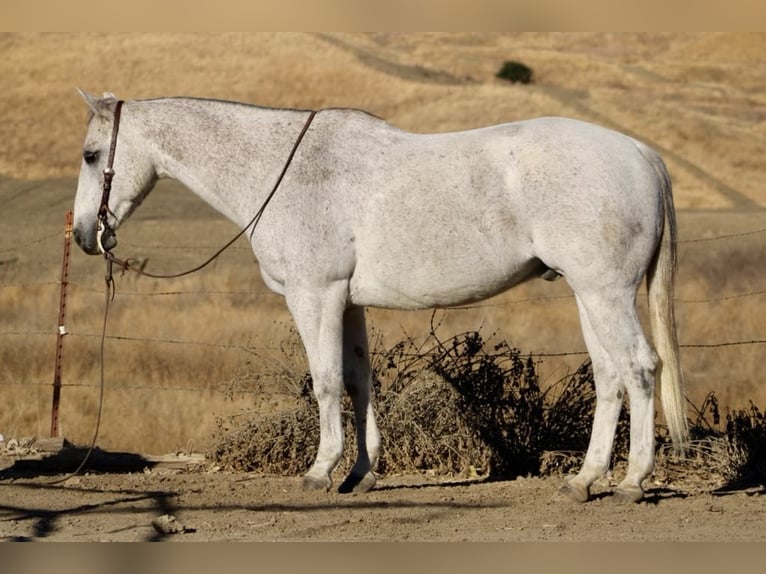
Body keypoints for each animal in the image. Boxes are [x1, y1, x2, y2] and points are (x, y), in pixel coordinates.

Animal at [72, 89, 689, 503]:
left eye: (89, 155)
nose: (83, 235)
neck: (284, 170)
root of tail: (640, 153)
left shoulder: (314, 296)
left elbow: (324, 382)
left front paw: (320, 471)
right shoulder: (348, 303)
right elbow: (358, 380)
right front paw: (360, 473)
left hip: (606, 294)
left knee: (639, 368)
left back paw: (633, 482)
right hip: (589, 296)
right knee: (610, 376)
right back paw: (584, 481)